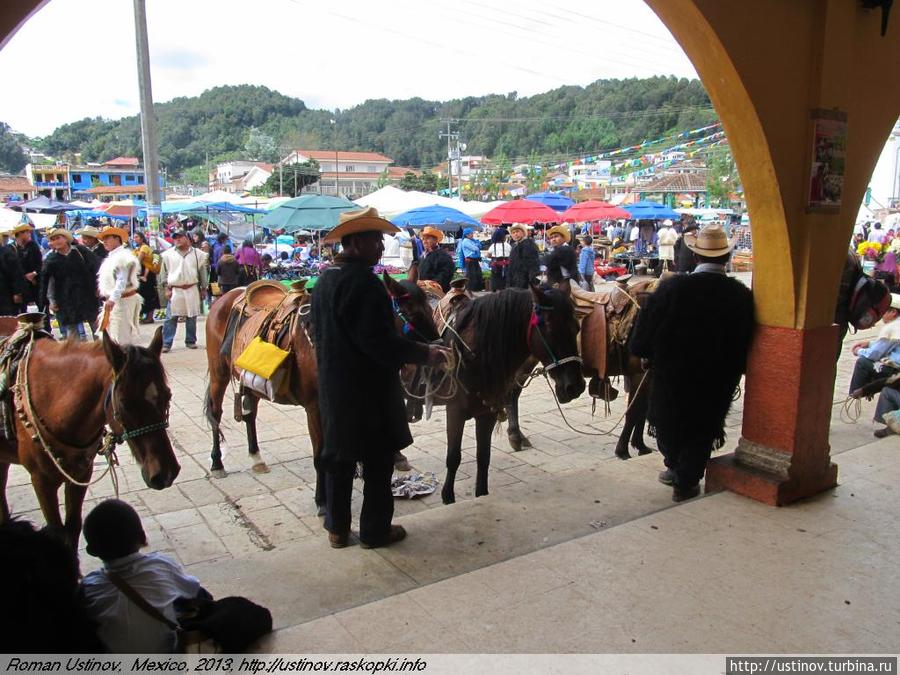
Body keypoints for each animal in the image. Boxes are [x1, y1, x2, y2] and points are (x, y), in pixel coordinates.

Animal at [0, 326, 181, 544]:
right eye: (125, 403)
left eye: (168, 396)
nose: (166, 473)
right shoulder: (41, 480)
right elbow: (57, 533)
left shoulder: (81, 473)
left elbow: (73, 528)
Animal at [205, 272, 442, 510]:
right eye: (412, 313)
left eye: (430, 308)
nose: (440, 349)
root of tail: (228, 296)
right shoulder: (315, 408)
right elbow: (320, 456)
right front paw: (323, 502)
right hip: (219, 373)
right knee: (216, 413)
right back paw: (217, 463)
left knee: (250, 414)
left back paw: (256, 457)